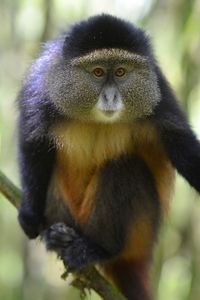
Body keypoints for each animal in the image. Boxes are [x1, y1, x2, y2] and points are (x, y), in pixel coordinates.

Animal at [16, 14, 200, 300]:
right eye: (98, 72)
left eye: (121, 72)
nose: (111, 96)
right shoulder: (41, 88)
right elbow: (33, 143)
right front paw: (29, 214)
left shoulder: (158, 93)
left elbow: (184, 149)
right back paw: (59, 239)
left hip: (140, 231)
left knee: (123, 167)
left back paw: (99, 249)